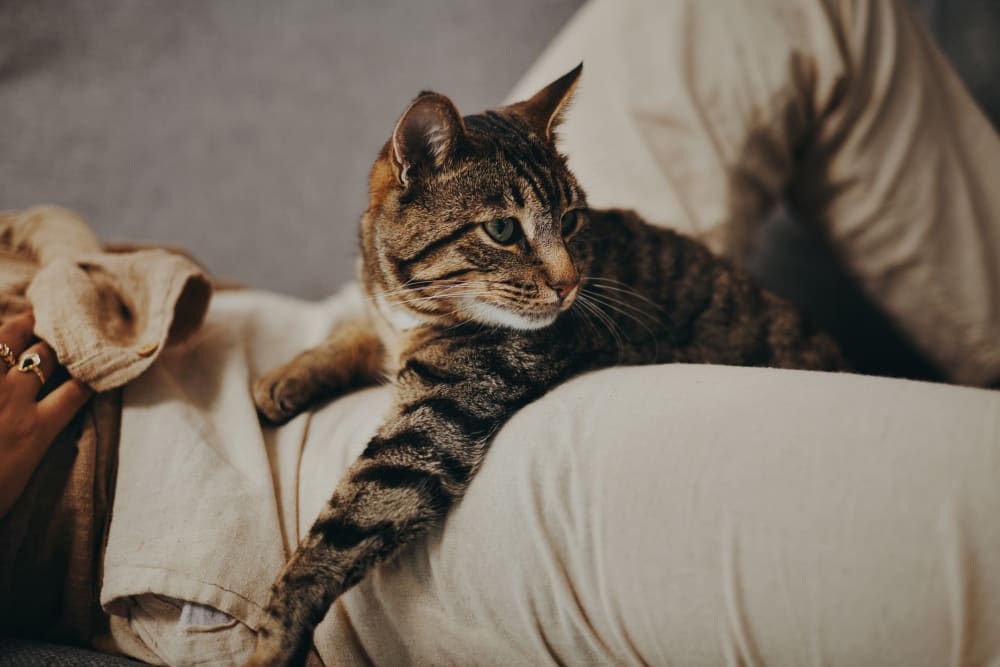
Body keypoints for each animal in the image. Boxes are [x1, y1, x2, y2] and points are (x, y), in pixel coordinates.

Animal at [244, 64, 844, 667]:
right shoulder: (388, 325)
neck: (413, 303)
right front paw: (285, 377)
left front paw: (273, 638)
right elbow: (356, 331)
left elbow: (343, 527)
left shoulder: (437, 420)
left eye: (572, 219)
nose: (569, 283)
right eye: (503, 231)